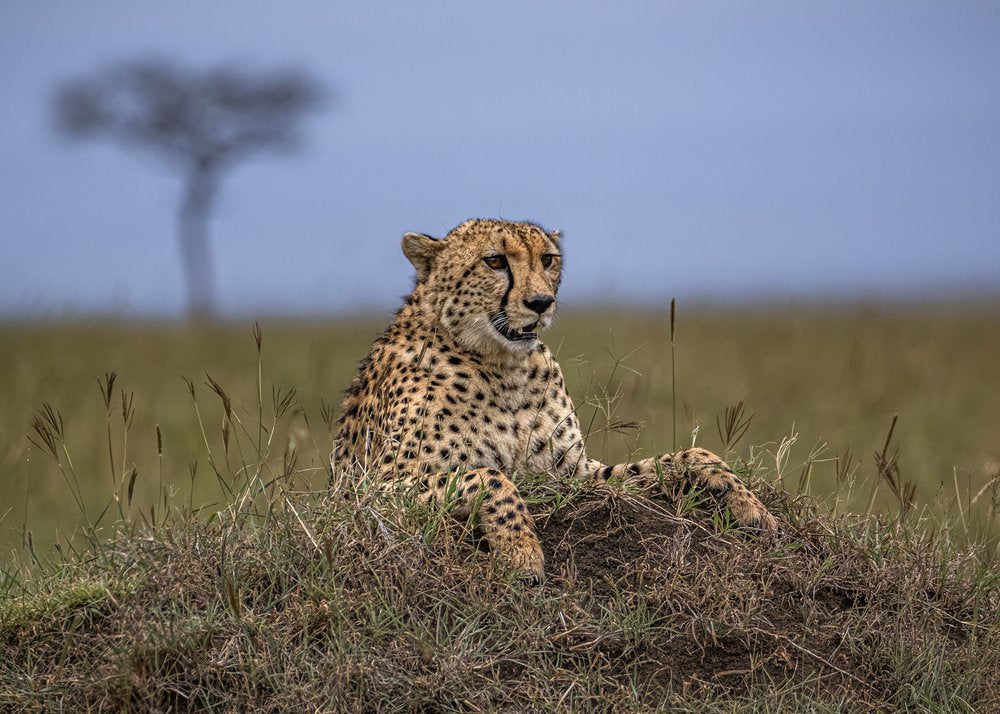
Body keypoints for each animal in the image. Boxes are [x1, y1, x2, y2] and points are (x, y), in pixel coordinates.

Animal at [332, 218, 777, 580]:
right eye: (495, 261)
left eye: (547, 259)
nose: (540, 302)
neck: (502, 366)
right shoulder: (372, 493)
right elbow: (490, 477)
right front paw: (521, 552)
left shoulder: (571, 477)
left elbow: (683, 456)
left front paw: (747, 502)